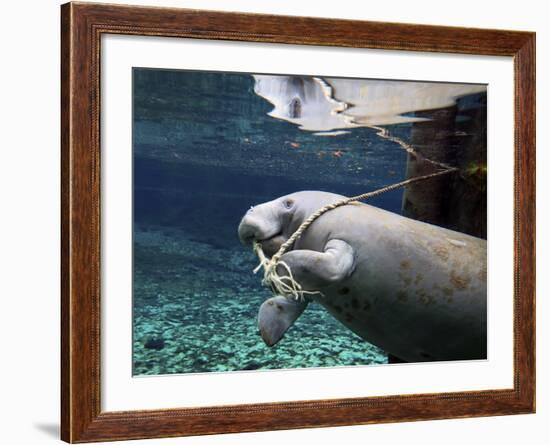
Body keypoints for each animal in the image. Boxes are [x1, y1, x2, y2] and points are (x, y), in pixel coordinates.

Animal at [239, 190, 490, 360]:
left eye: (288, 203)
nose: (249, 211)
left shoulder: (342, 246)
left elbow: (327, 266)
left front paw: (275, 272)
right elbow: (292, 299)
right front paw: (268, 332)